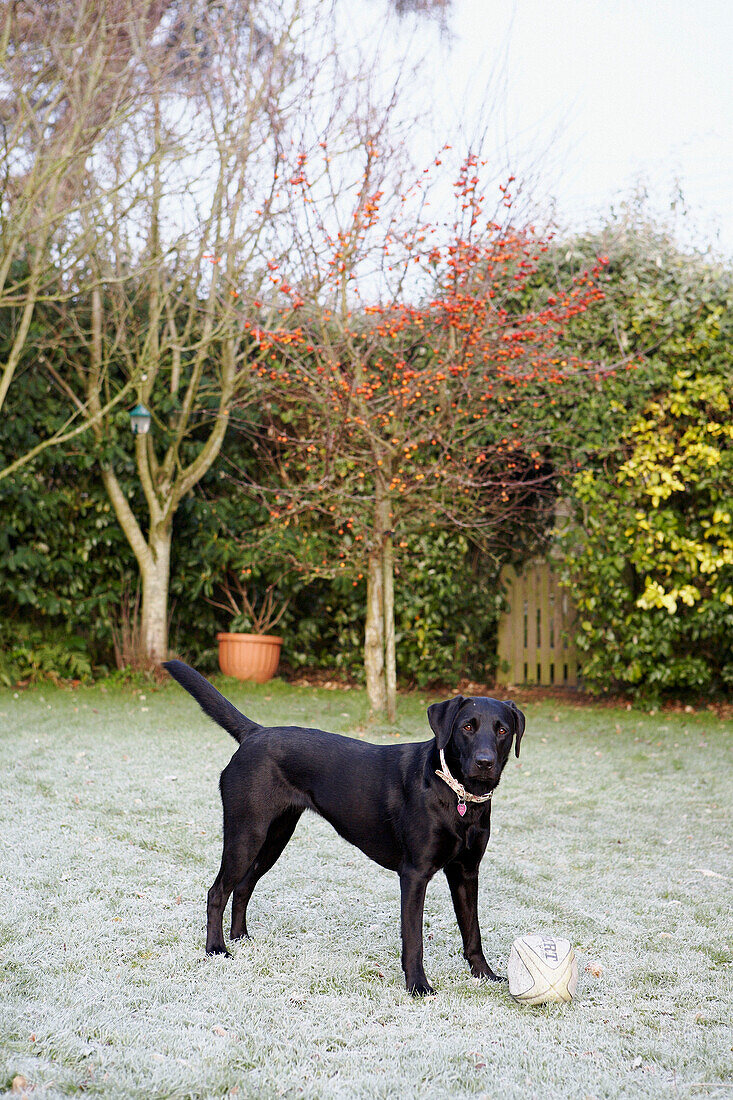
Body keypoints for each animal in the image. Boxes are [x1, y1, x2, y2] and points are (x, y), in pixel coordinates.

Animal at [162, 660, 521, 998]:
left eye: (502, 730)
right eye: (467, 727)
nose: (485, 763)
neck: (459, 796)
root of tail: (254, 733)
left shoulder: (466, 872)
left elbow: (472, 931)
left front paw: (485, 975)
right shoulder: (415, 874)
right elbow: (414, 939)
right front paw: (418, 986)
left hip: (274, 837)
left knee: (243, 886)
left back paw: (241, 938)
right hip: (246, 834)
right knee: (217, 891)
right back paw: (217, 949)